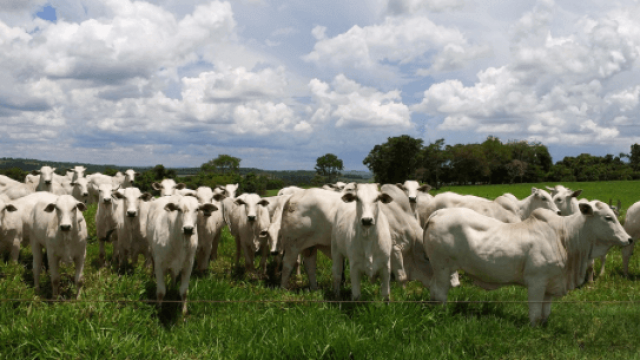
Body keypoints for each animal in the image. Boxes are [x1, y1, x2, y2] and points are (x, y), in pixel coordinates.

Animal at [422, 202, 632, 326]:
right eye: (607, 217)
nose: (629, 239)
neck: (566, 237)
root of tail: (438, 213)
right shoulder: (536, 281)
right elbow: (535, 311)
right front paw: (534, 328)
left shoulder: (552, 282)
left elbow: (546, 310)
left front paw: (544, 325)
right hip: (442, 267)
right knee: (441, 292)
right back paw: (442, 313)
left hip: (437, 269)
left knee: (433, 288)